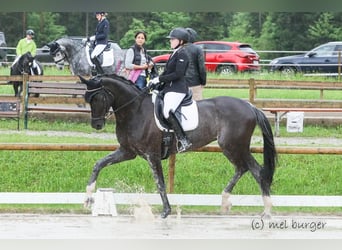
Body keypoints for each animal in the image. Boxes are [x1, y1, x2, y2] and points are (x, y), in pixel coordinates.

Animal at [79, 74, 276, 219]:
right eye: (87, 98)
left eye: (97, 97)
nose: (97, 125)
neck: (135, 110)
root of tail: (250, 106)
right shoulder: (127, 151)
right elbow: (98, 164)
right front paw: (88, 198)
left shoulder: (152, 155)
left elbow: (160, 183)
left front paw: (166, 211)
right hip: (234, 147)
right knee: (247, 169)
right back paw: (234, 203)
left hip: (233, 145)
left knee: (252, 169)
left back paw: (258, 208)